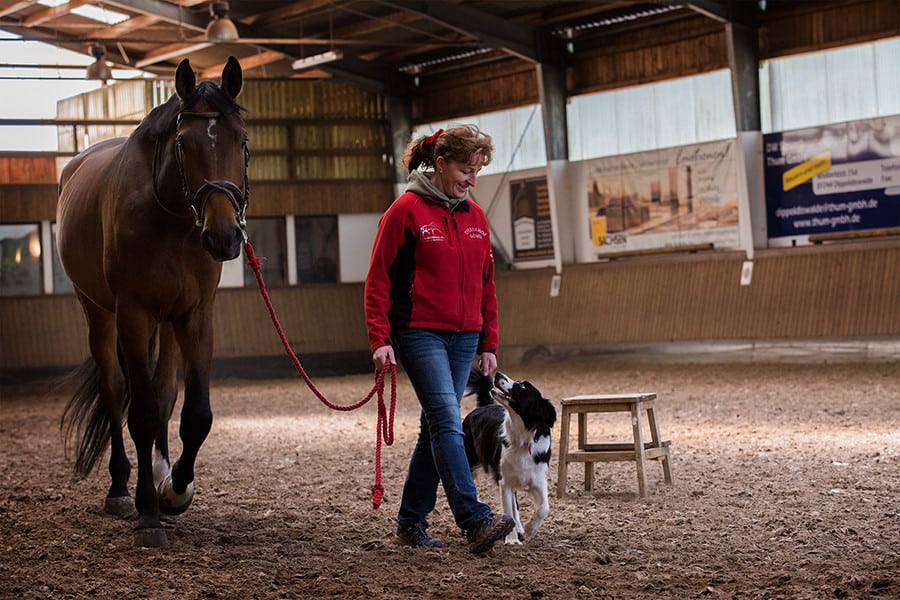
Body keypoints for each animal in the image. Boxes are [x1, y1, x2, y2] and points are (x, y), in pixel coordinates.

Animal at [57, 57, 248, 548]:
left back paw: (160, 472)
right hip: (100, 314)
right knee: (114, 391)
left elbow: (194, 413)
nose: (224, 237)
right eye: (184, 143)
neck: (173, 219)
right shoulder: (134, 314)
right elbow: (139, 412)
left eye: (241, 140)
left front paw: (175, 491)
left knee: (163, 393)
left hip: (167, 323)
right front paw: (147, 511)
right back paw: (121, 490)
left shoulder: (194, 316)